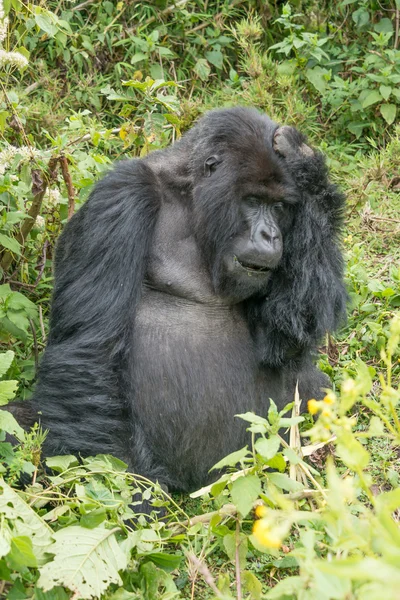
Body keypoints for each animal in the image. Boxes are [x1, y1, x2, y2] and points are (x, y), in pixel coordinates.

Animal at [30, 106, 346, 492]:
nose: (271, 236)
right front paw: (132, 494)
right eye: (254, 201)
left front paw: (306, 165)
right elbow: (91, 347)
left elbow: (285, 336)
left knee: (313, 384)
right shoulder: (121, 194)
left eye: (281, 207)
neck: (191, 199)